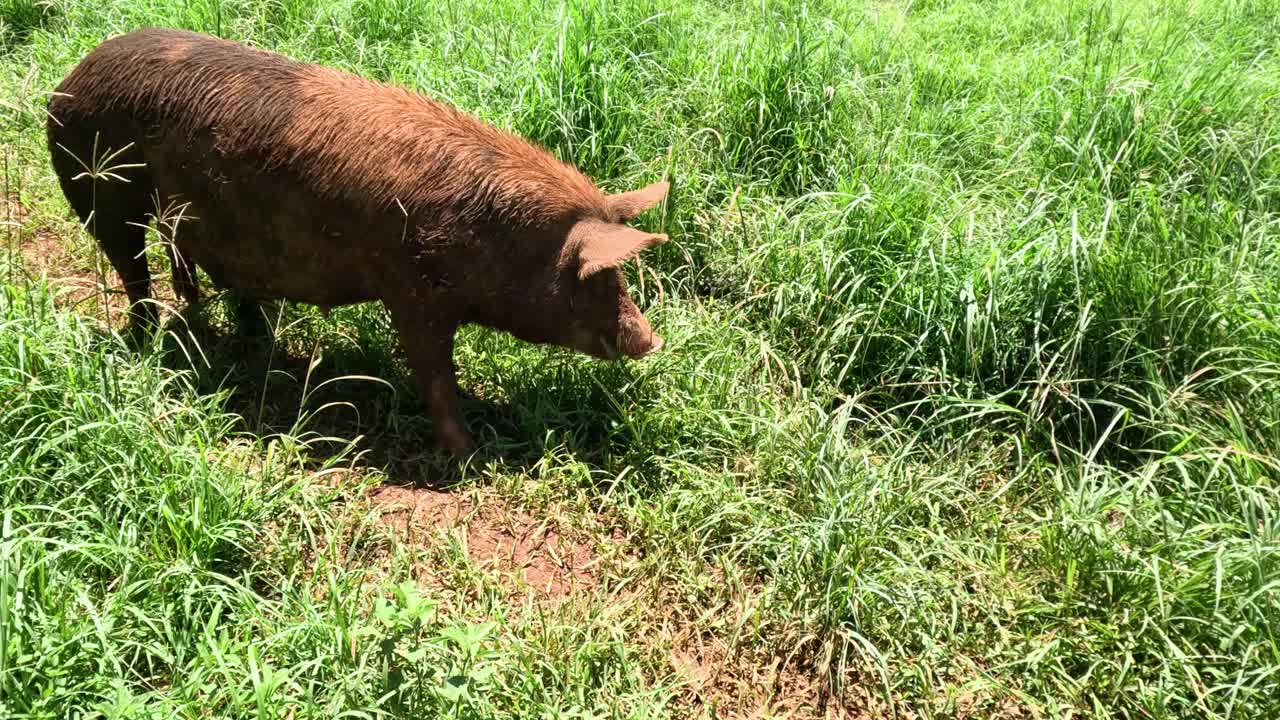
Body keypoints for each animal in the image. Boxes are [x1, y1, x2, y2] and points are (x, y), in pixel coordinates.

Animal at [47, 29, 670, 453]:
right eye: (595, 277)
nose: (650, 340)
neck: (499, 242)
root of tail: (69, 79)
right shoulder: (410, 291)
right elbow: (434, 373)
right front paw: (468, 453)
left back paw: (254, 345)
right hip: (99, 192)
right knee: (132, 270)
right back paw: (148, 343)